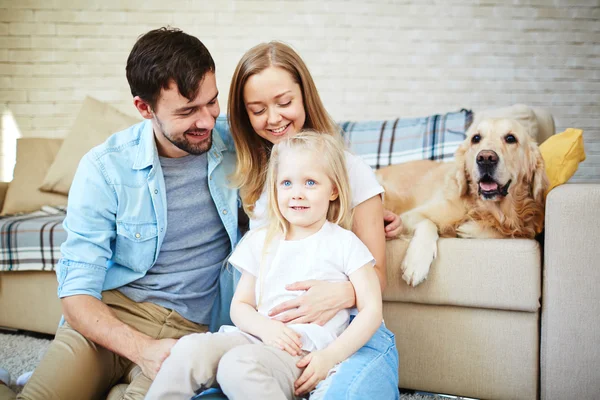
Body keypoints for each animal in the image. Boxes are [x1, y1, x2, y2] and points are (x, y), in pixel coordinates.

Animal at [378, 117, 552, 286]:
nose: (486, 158)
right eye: (476, 138)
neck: (484, 208)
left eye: (511, 138)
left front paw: (468, 229)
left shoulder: (525, 225)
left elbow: (504, 231)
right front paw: (416, 264)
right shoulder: (409, 215)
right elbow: (428, 223)